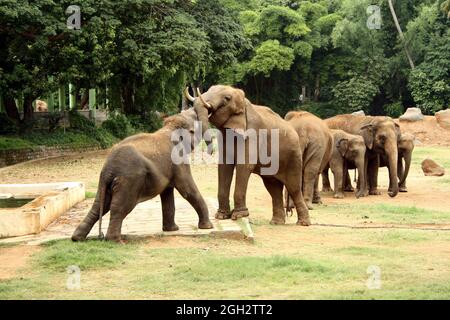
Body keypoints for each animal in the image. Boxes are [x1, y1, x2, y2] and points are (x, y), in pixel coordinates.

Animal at [72, 109, 214, 241]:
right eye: (195, 119)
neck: (170, 127)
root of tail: (108, 170)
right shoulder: (179, 161)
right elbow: (187, 189)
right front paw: (207, 227)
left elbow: (167, 193)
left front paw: (172, 230)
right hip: (130, 180)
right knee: (120, 207)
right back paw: (116, 241)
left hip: (104, 183)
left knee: (98, 206)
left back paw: (77, 238)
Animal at [185, 84, 310, 225]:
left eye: (227, 98)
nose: (210, 152)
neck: (243, 102)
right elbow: (224, 167)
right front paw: (221, 216)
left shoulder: (252, 132)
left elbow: (244, 166)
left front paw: (239, 216)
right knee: (273, 188)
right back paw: (276, 222)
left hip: (293, 157)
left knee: (293, 187)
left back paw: (303, 223)